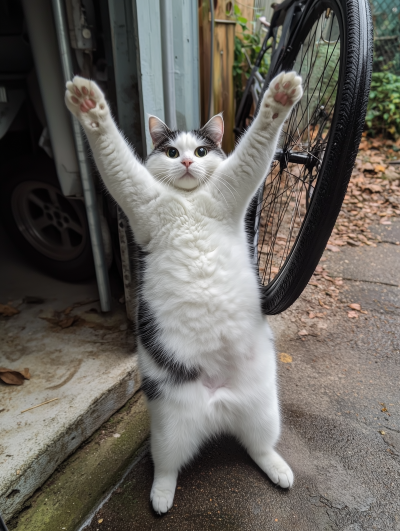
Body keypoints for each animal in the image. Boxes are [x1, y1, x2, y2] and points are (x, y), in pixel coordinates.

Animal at [65, 71, 304, 516]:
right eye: (172, 151)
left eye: (203, 149)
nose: (189, 162)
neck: (190, 203)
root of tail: (218, 404)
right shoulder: (138, 197)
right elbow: (114, 156)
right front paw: (89, 106)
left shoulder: (234, 185)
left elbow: (256, 147)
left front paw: (279, 98)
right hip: (168, 427)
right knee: (167, 465)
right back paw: (161, 496)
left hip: (265, 410)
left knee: (258, 446)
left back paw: (278, 469)